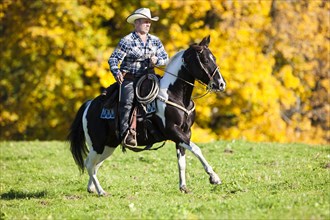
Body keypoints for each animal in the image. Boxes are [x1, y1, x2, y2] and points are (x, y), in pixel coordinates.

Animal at [68, 36, 226, 196]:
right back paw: (101, 191)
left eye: (214, 58)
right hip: (97, 143)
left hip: (109, 144)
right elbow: (196, 149)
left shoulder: (184, 133)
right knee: (89, 163)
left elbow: (182, 161)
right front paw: (214, 177)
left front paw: (183, 187)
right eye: (204, 60)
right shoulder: (173, 130)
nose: (220, 84)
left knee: (95, 164)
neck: (174, 94)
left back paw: (92, 188)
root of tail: (90, 104)